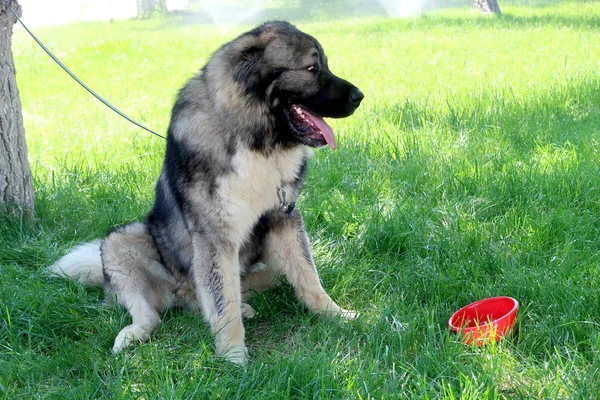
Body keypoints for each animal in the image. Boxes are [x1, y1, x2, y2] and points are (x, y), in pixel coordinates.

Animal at [49, 21, 364, 366]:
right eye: (311, 68)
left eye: (325, 65)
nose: (359, 96)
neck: (254, 140)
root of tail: (182, 293)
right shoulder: (216, 237)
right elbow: (223, 303)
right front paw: (234, 357)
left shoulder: (284, 219)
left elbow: (309, 278)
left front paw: (336, 315)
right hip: (122, 242)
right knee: (155, 313)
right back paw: (131, 335)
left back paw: (243, 307)